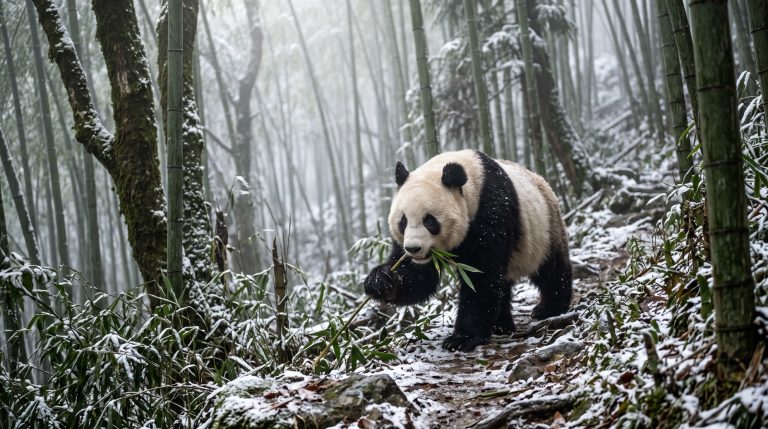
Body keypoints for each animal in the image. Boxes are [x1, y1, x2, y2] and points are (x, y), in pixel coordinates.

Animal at [364, 149, 572, 351]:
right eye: (403, 221)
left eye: (430, 221)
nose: (414, 249)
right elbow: (418, 277)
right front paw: (382, 281)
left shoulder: (491, 212)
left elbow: (481, 278)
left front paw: (462, 339)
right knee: (504, 282)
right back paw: (501, 325)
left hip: (545, 229)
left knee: (551, 269)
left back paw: (549, 308)